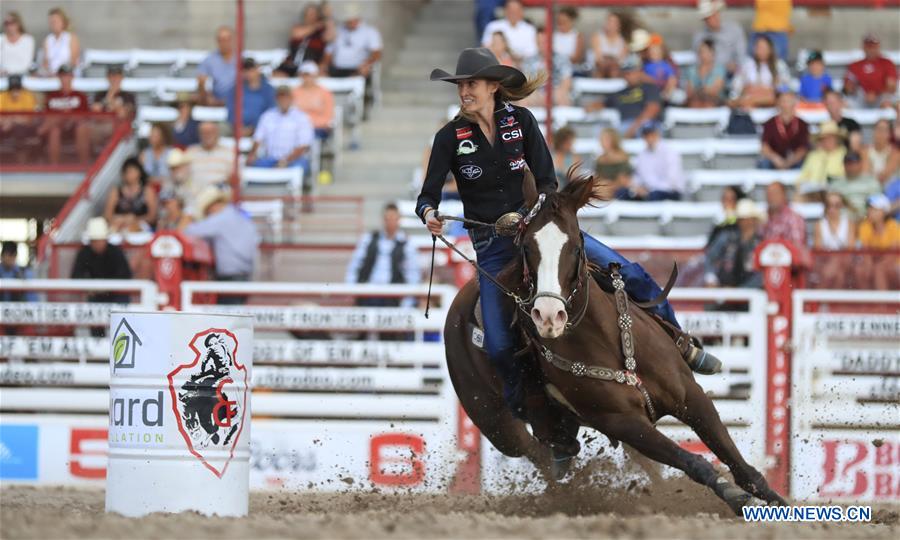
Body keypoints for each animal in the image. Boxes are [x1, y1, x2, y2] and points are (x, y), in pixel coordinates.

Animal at [444, 171, 788, 512]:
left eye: (575, 245)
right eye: (527, 247)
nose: (549, 315)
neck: (605, 338)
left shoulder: (690, 396)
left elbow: (737, 460)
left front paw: (776, 500)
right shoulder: (622, 422)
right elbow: (694, 462)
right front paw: (733, 496)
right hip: (497, 424)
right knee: (537, 454)